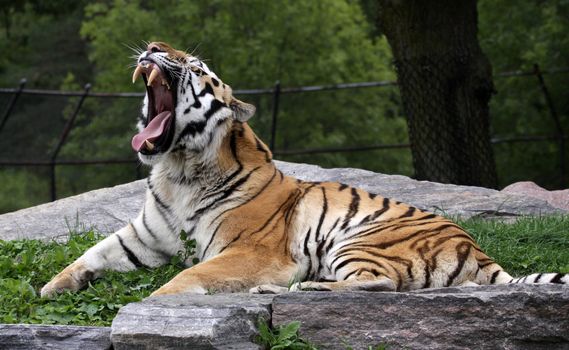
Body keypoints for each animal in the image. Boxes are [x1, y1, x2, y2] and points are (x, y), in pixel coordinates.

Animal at [38, 41, 564, 298]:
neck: (177, 169)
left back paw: (298, 287)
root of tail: (480, 250)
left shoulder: (246, 249)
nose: (154, 44)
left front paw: (149, 301)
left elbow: (188, 277)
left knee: (380, 284)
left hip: (362, 240)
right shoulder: (141, 237)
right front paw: (51, 287)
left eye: (197, 65)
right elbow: (88, 255)